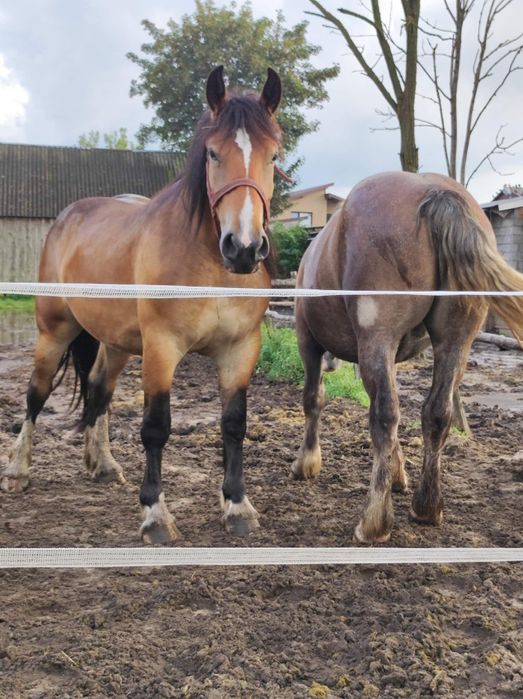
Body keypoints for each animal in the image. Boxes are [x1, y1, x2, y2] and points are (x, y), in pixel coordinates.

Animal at [2, 65, 284, 544]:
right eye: (212, 153)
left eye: (273, 155)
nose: (244, 248)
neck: (210, 266)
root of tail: (68, 216)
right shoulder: (161, 347)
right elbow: (155, 428)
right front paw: (154, 514)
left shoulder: (240, 349)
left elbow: (234, 424)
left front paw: (237, 505)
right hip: (53, 330)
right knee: (35, 394)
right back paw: (19, 470)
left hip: (115, 343)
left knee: (98, 390)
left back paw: (102, 464)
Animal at [294, 172, 523, 544]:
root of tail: (436, 194)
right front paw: (399, 474)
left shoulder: (309, 343)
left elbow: (314, 400)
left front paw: (307, 463)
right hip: (454, 343)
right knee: (436, 414)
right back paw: (426, 507)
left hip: (376, 339)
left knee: (385, 416)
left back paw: (374, 521)